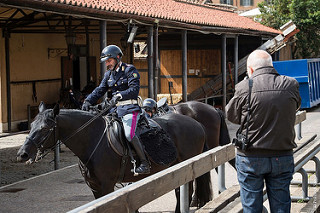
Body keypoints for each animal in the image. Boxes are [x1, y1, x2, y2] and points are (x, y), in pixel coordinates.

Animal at [17, 102, 211, 212]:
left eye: (44, 128)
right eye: (31, 125)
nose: (22, 154)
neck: (93, 138)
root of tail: (198, 124)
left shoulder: (106, 185)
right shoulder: (95, 187)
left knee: (185, 191)